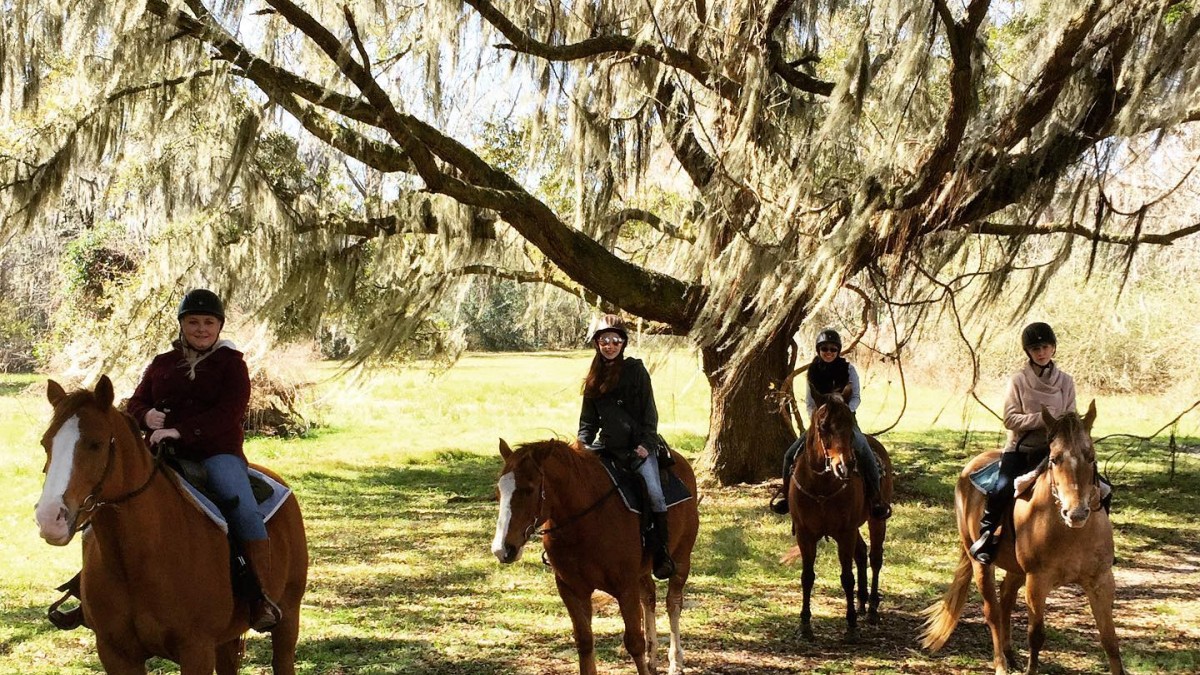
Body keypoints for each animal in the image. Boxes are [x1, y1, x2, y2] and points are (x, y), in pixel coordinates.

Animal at [33, 374, 309, 667]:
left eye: (95, 444)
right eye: (45, 443)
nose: (49, 518)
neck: (137, 560)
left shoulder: (196, 650)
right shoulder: (114, 653)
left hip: (288, 616)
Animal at [487, 437, 700, 672]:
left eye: (528, 489)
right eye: (499, 492)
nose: (502, 549)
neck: (585, 524)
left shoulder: (626, 588)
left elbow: (635, 642)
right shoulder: (571, 589)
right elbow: (585, 641)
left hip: (681, 559)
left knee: (673, 603)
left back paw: (676, 661)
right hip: (643, 572)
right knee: (649, 598)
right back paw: (652, 658)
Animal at [782, 386, 897, 634]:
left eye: (850, 422)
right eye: (823, 426)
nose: (845, 465)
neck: (821, 487)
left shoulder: (845, 533)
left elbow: (847, 577)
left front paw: (851, 623)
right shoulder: (806, 534)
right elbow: (807, 576)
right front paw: (805, 624)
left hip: (876, 520)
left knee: (875, 558)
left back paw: (872, 608)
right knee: (861, 553)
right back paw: (862, 602)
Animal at [916, 401, 1123, 672]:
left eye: (1091, 457)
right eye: (1054, 459)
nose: (1076, 513)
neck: (1070, 534)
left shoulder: (1101, 581)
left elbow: (1110, 640)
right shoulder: (1037, 581)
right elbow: (1036, 635)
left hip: (1016, 569)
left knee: (1005, 598)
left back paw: (1010, 654)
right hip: (980, 562)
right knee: (992, 610)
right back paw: (1001, 664)